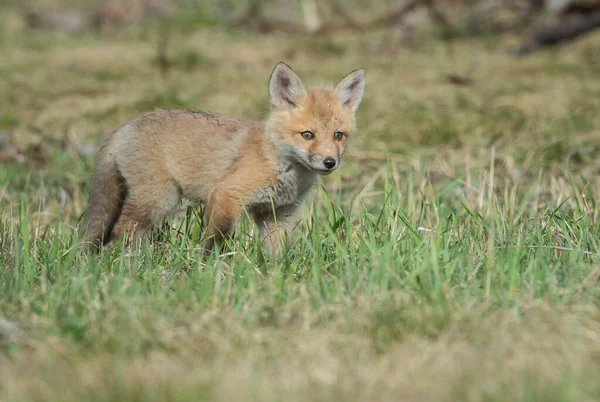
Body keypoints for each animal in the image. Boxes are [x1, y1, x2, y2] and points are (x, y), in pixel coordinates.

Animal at [79, 61, 366, 251]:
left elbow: (278, 255)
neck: (280, 165)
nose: (329, 162)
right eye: (307, 135)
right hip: (158, 200)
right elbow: (213, 242)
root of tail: (126, 126)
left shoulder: (276, 215)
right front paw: (205, 267)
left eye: (338, 135)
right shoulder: (226, 196)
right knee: (120, 232)